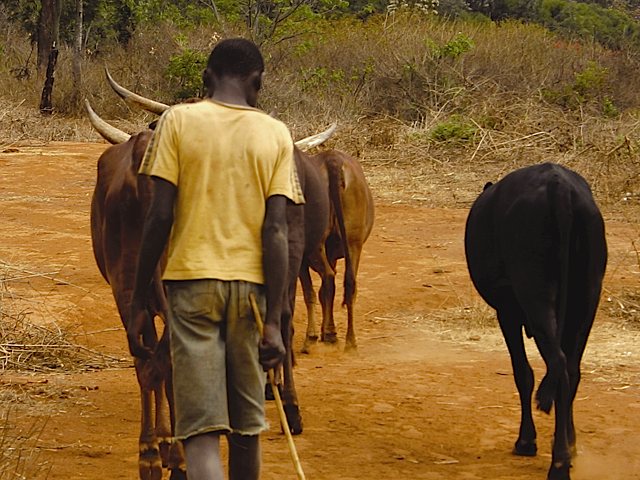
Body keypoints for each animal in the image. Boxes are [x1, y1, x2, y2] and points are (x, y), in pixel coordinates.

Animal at [462, 163, 608, 478]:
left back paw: (558, 462)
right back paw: (568, 448)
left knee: (557, 365)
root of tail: (558, 187)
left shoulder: (507, 311)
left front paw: (526, 441)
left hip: (535, 296)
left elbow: (522, 373)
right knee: (571, 370)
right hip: (587, 300)